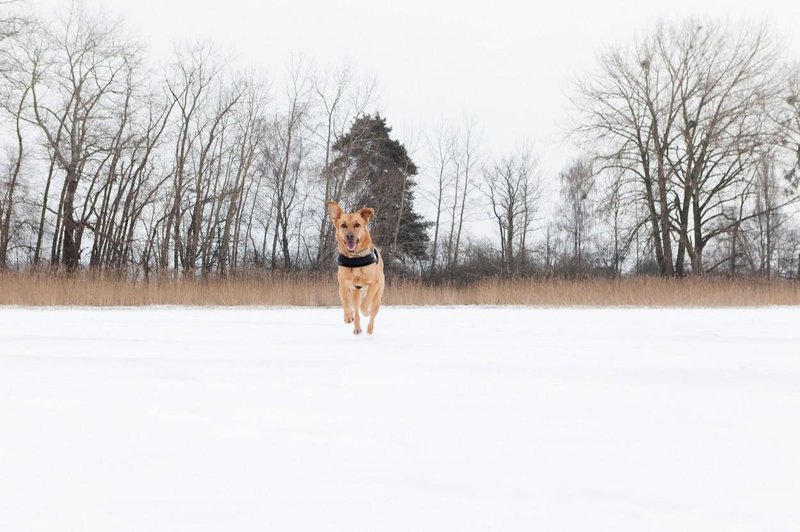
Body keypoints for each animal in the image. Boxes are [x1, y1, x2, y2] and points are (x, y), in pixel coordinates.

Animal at [326, 202, 386, 334]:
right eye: (343, 225)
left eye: (357, 225)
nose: (350, 236)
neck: (355, 258)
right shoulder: (344, 285)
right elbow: (346, 302)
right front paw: (348, 316)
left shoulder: (374, 283)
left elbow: (365, 305)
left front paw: (365, 311)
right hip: (354, 292)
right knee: (355, 310)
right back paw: (357, 327)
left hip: (377, 296)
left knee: (372, 313)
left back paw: (369, 329)